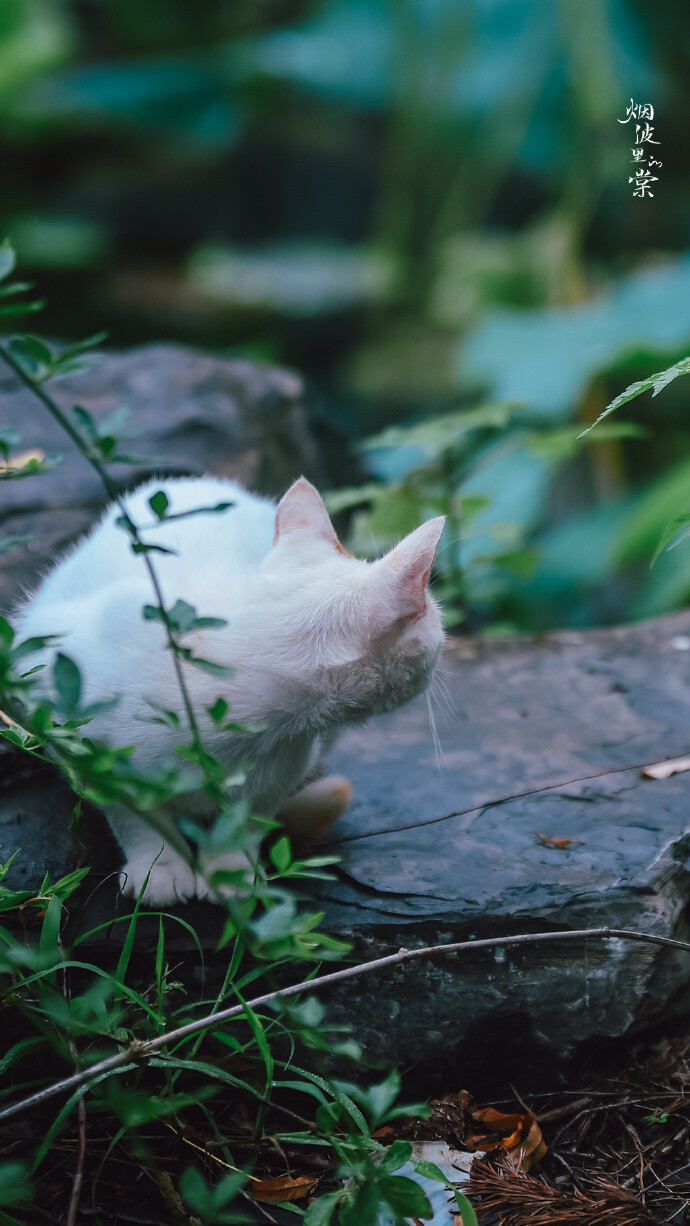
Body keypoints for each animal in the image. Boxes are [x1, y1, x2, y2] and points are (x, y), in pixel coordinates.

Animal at [17, 473, 448, 907]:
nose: (444, 645)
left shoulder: (284, 768)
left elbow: (249, 819)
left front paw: (231, 872)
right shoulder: (75, 731)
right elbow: (134, 815)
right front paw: (158, 866)